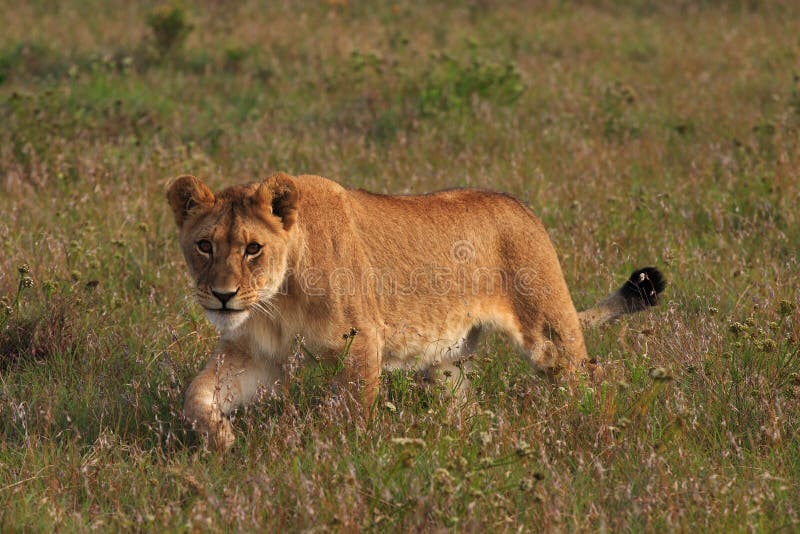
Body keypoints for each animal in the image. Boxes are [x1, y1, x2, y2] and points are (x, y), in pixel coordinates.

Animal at [166, 174, 664, 450]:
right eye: (204, 245)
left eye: (253, 248)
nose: (223, 296)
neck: (275, 302)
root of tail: (523, 208)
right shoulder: (253, 354)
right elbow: (196, 396)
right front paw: (222, 440)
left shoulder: (361, 342)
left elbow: (351, 414)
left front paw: (337, 456)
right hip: (447, 363)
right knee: (464, 402)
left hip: (548, 334)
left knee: (590, 374)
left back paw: (588, 424)